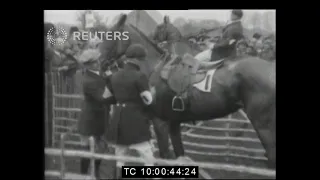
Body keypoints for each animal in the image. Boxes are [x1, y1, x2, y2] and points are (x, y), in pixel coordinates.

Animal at [99, 15, 276, 170]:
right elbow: (179, 155)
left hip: (264, 127)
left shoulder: (160, 122)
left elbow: (164, 156)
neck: (155, 68)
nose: (99, 61)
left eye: (110, 36)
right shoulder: (173, 123)